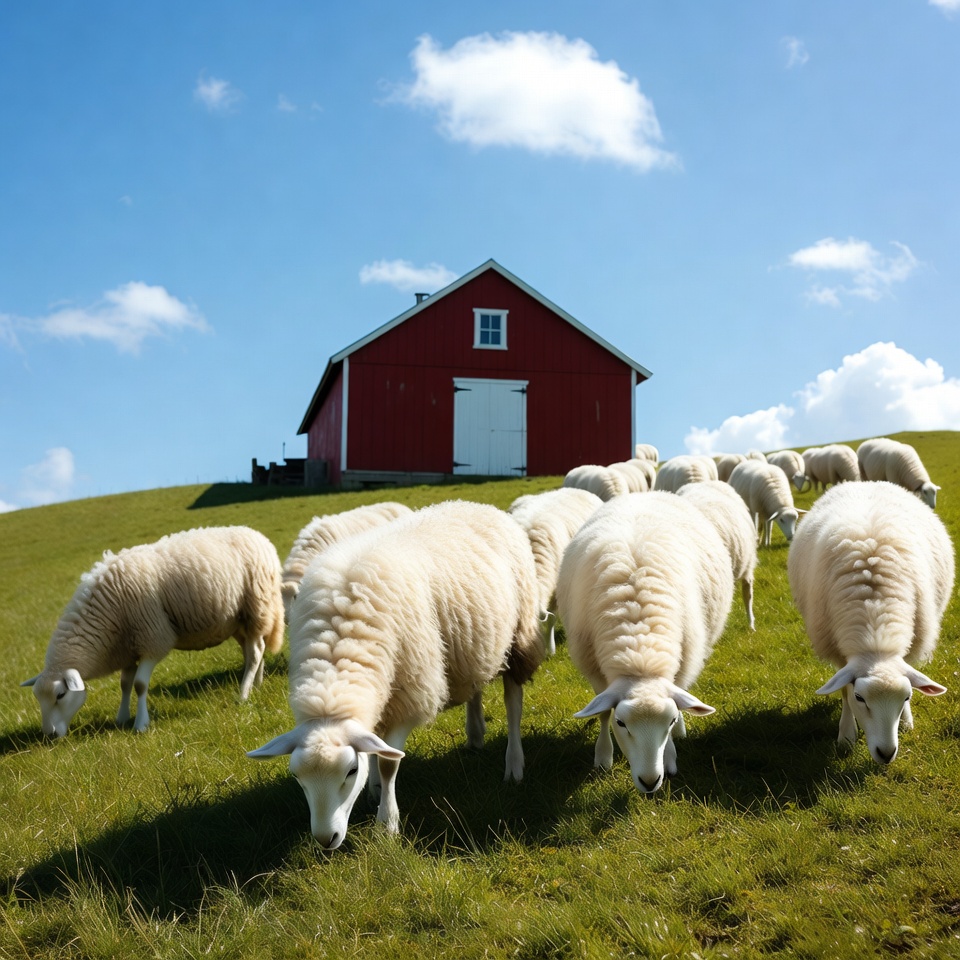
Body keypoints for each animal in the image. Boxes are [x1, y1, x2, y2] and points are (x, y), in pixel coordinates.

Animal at [21, 526, 285, 737]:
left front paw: (141, 724)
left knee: (255, 651)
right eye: (38, 698)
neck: (106, 616)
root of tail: (260, 537)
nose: (49, 735)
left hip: (256, 606)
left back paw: (243, 694)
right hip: (237, 620)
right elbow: (125, 684)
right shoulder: (127, 647)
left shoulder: (153, 639)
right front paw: (122, 718)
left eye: (60, 695)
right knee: (253, 650)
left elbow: (139, 685)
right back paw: (256, 684)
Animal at [557, 492, 733, 793]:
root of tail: (644, 493)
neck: (640, 653)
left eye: (669, 720)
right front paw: (603, 756)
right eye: (621, 723)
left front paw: (672, 752)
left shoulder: (681, 662)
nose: (650, 782)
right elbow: (602, 712)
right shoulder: (595, 670)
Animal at [787, 482, 953, 763]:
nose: (886, 753)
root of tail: (865, 482)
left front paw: (906, 720)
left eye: (907, 696)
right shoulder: (839, 651)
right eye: (860, 697)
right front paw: (846, 735)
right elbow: (842, 689)